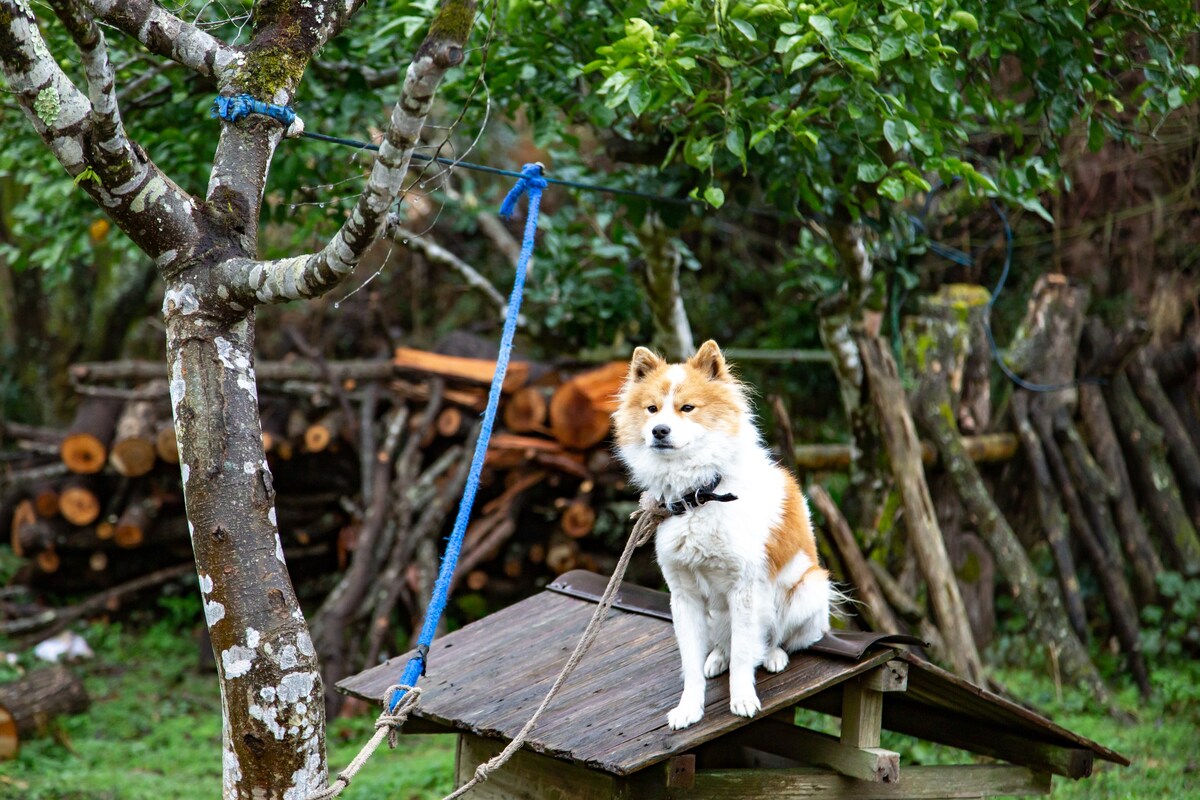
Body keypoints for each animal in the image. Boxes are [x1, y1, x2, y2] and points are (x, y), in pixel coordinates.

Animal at [614, 340, 830, 729]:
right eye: (652, 409)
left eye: (687, 408)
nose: (659, 431)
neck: (700, 495)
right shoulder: (684, 597)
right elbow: (690, 663)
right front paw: (690, 708)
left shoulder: (744, 591)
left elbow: (745, 653)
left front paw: (742, 698)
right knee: (723, 643)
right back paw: (716, 657)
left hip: (806, 591)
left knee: (780, 638)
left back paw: (773, 656)